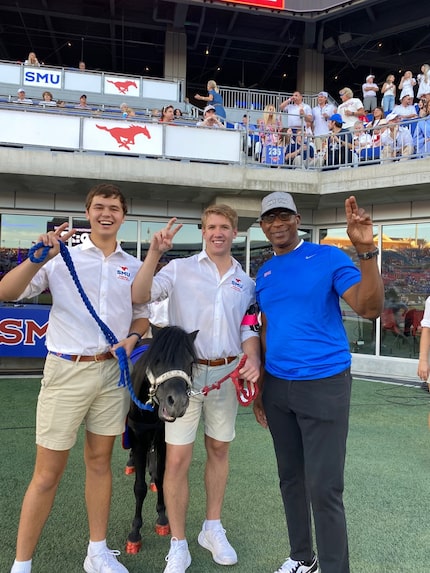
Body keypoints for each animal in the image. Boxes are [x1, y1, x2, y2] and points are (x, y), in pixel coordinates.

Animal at [124, 324, 198, 552]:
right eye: (157, 360)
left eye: (190, 363)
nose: (178, 403)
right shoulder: (139, 437)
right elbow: (139, 488)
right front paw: (135, 532)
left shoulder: (163, 437)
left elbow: (161, 476)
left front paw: (163, 518)